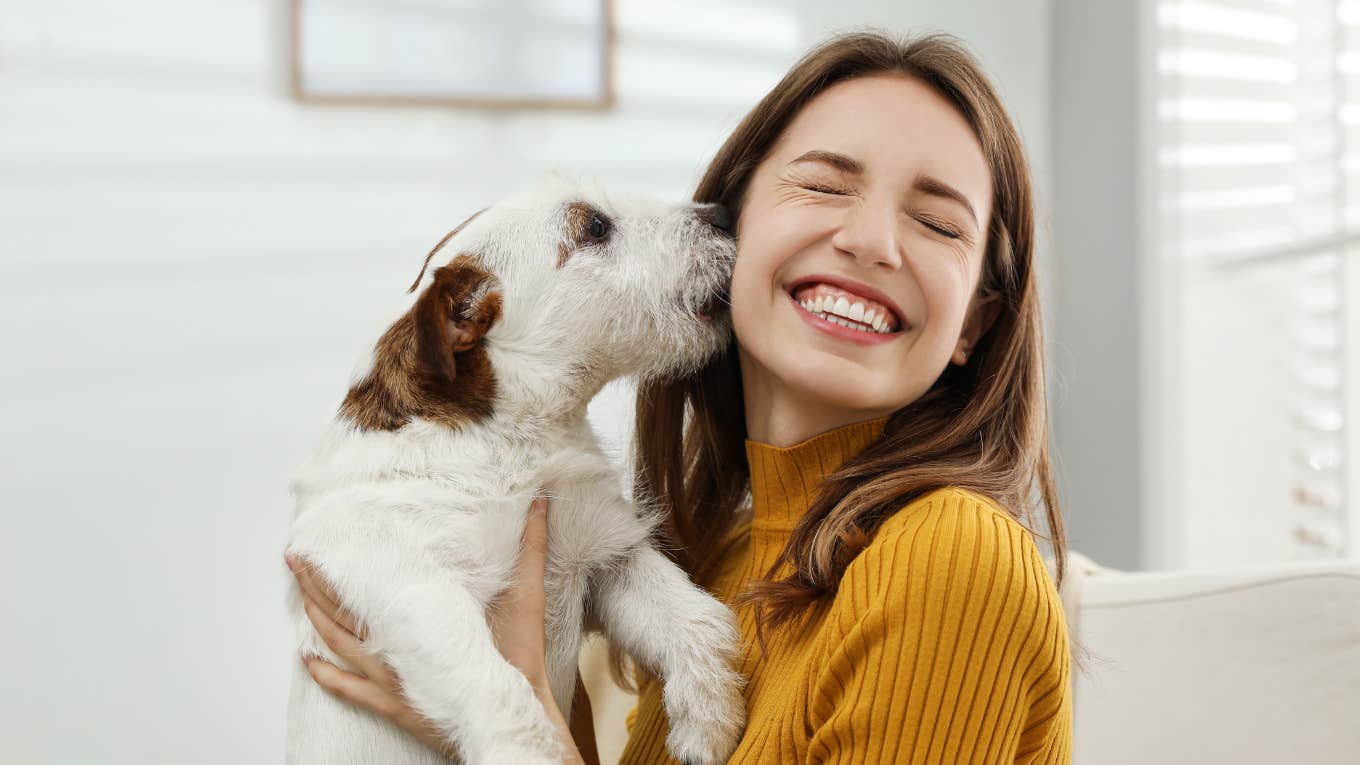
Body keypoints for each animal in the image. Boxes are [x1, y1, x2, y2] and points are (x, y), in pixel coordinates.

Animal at [284, 174, 745, 762]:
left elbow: (697, 621)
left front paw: (707, 722)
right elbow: (503, 694)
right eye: (595, 227)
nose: (724, 214)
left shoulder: (606, 558)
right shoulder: (413, 586)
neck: (514, 443)